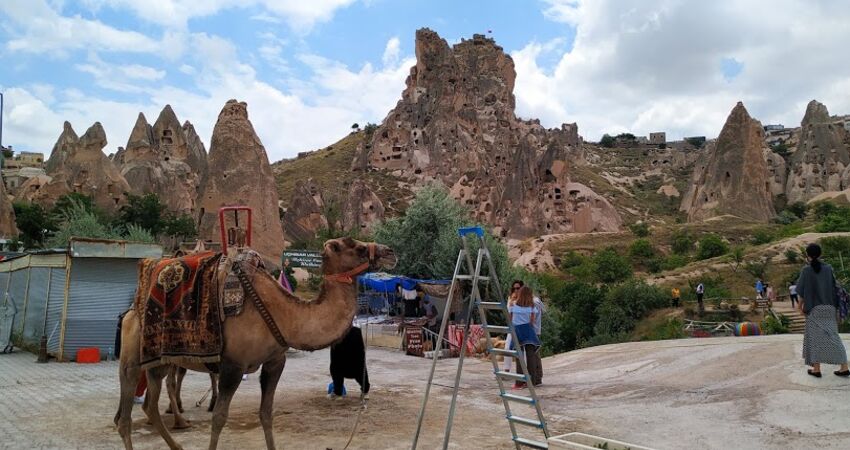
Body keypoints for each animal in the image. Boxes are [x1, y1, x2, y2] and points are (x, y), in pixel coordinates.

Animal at [114, 237, 396, 448]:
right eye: (358, 247)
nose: (390, 252)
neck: (284, 314)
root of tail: (133, 308)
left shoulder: (275, 361)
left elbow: (266, 414)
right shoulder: (233, 365)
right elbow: (219, 418)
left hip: (158, 361)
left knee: (150, 405)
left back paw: (177, 441)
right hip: (132, 357)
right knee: (125, 415)